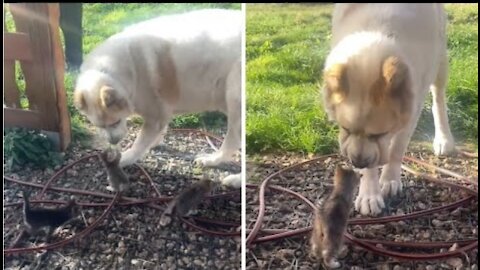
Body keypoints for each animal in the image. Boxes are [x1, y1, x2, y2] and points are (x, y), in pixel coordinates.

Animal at [73, 7, 242, 186]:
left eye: (116, 122)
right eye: (99, 126)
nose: (113, 142)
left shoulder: (155, 116)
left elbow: (139, 143)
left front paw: (126, 158)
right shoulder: (161, 115)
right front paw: (154, 142)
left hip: (235, 103)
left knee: (232, 141)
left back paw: (229, 174)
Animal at [322, 3, 454, 215]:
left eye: (379, 134)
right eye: (345, 128)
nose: (357, 163)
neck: (378, 30)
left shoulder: (413, 105)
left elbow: (397, 146)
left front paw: (389, 179)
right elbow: (372, 159)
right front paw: (369, 194)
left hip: (440, 60)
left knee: (439, 98)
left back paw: (444, 138)